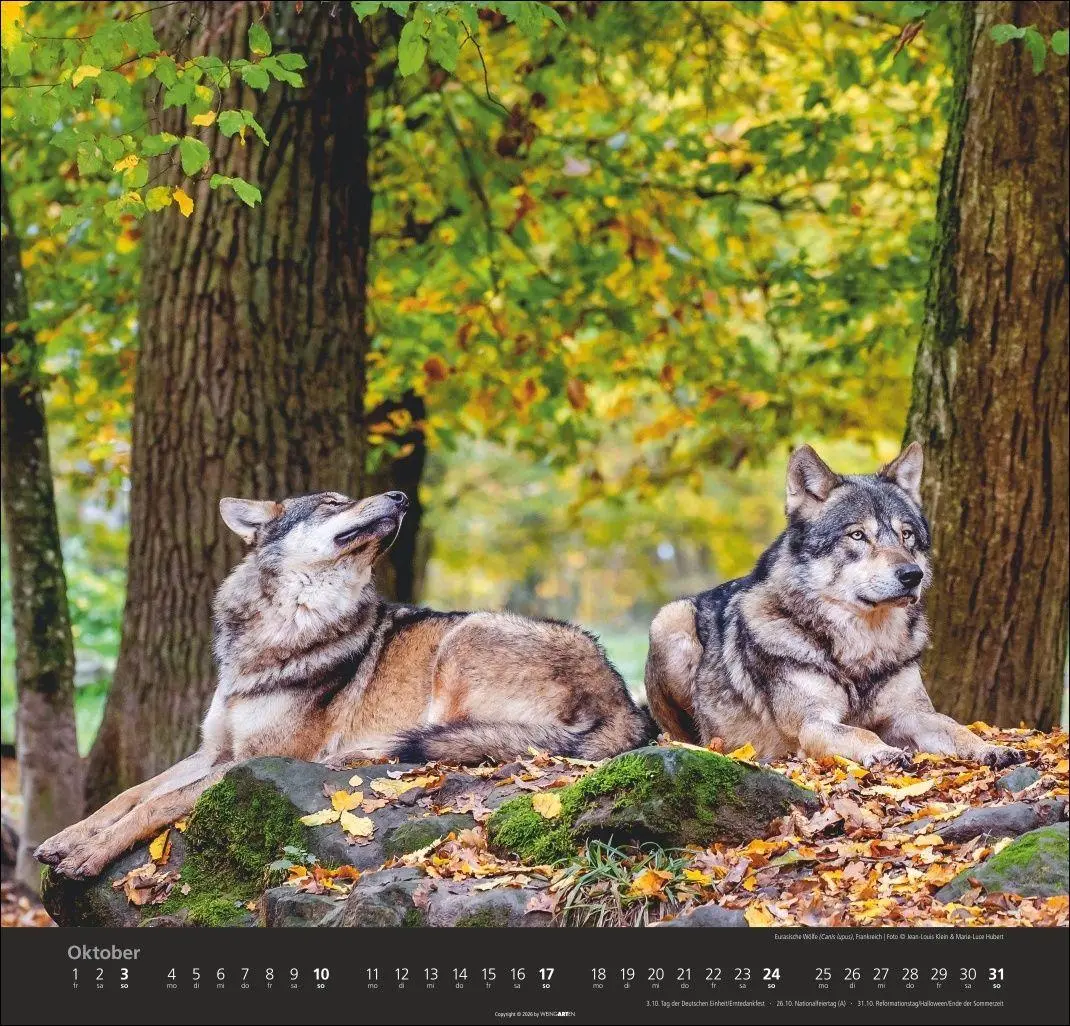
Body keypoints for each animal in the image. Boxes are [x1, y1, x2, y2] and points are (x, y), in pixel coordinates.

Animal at [38, 489, 653, 879]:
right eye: (335, 503)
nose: (401, 496)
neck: (288, 622)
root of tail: (625, 700)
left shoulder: (247, 762)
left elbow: (155, 807)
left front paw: (89, 856)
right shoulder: (215, 752)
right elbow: (131, 793)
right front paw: (66, 839)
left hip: (464, 637)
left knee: (456, 742)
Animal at [644, 443, 1023, 770]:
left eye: (907, 535)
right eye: (857, 535)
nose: (911, 575)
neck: (862, 650)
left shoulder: (911, 715)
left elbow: (955, 726)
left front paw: (990, 747)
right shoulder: (813, 723)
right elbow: (860, 732)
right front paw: (886, 753)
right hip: (670, 620)